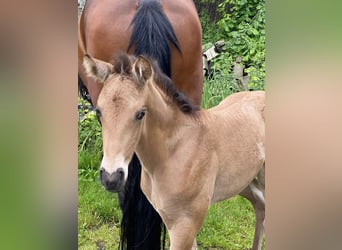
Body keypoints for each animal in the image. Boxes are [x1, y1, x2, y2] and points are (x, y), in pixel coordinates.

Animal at [82, 53, 264, 250]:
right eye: (98, 112)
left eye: (140, 113)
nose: (111, 178)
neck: (173, 152)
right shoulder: (171, 219)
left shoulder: (185, 224)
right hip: (243, 182)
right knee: (260, 205)